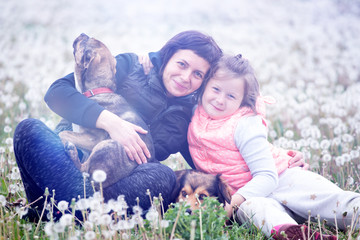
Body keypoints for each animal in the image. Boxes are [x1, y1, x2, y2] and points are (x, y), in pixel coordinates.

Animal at [58, 32, 155, 188]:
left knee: (84, 170)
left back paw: (71, 151)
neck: (98, 90)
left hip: (109, 144)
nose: (82, 34)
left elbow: (64, 133)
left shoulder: (92, 139)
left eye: (85, 42)